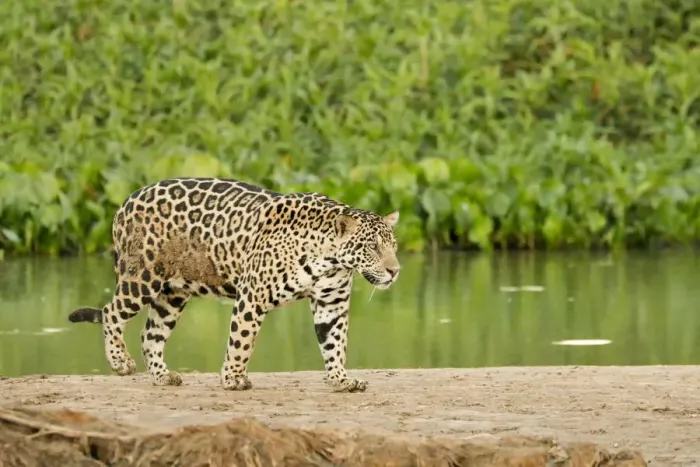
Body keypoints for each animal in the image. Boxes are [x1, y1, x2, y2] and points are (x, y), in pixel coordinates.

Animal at [67, 177, 400, 393]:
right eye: (372, 247)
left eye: (393, 245)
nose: (395, 271)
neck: (330, 259)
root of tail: (126, 200)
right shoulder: (253, 296)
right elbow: (242, 340)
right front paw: (233, 378)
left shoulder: (332, 303)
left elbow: (335, 343)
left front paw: (341, 379)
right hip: (142, 278)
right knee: (111, 312)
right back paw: (120, 362)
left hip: (172, 295)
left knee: (150, 334)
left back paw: (163, 376)